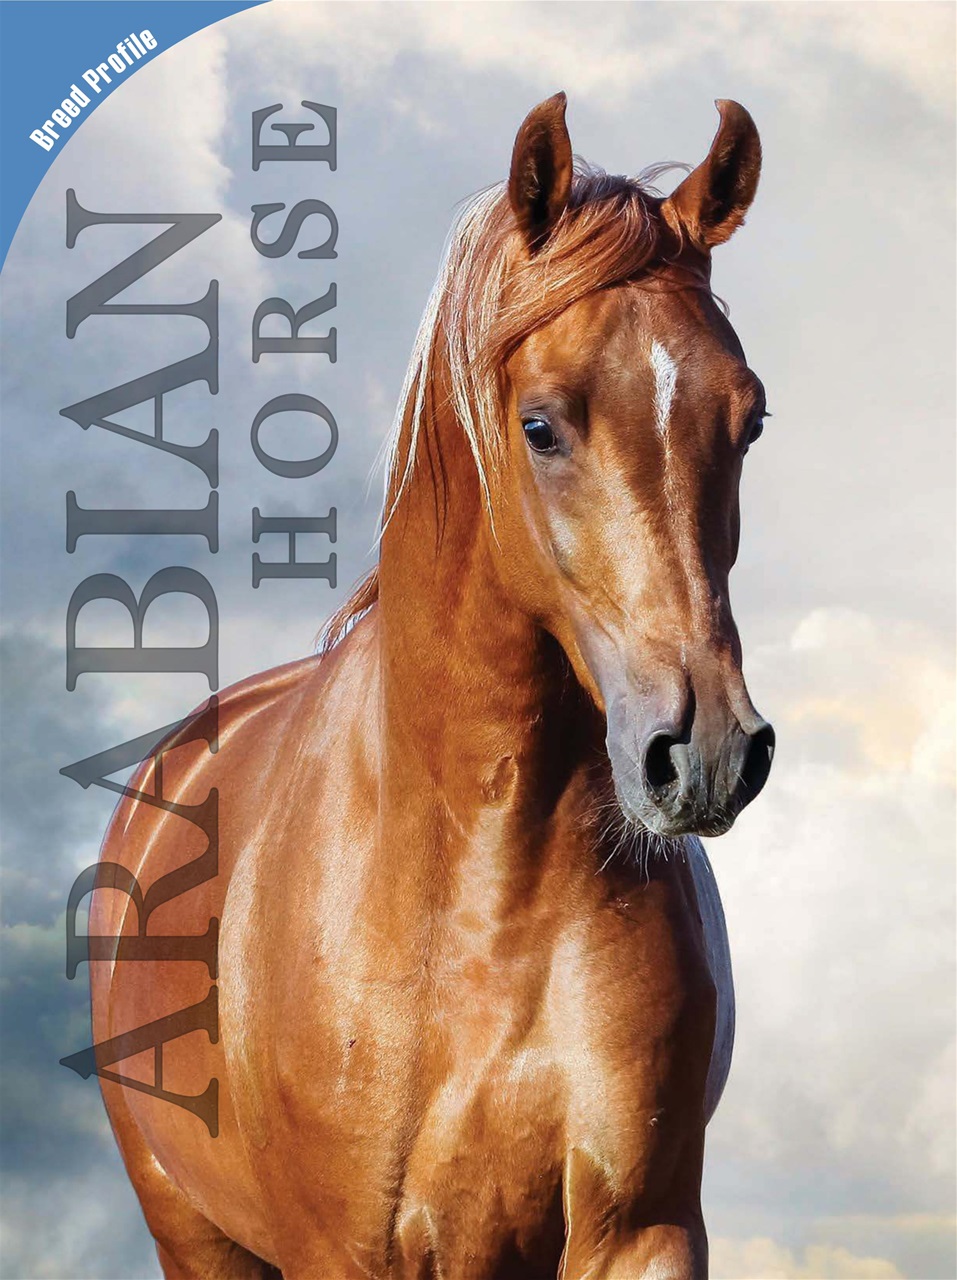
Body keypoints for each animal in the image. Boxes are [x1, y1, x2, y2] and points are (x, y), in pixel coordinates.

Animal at [88, 93, 774, 1279]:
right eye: (540, 424)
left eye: (750, 418)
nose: (707, 752)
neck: (481, 903)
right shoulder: (344, 1250)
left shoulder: (639, 1230)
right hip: (195, 1233)